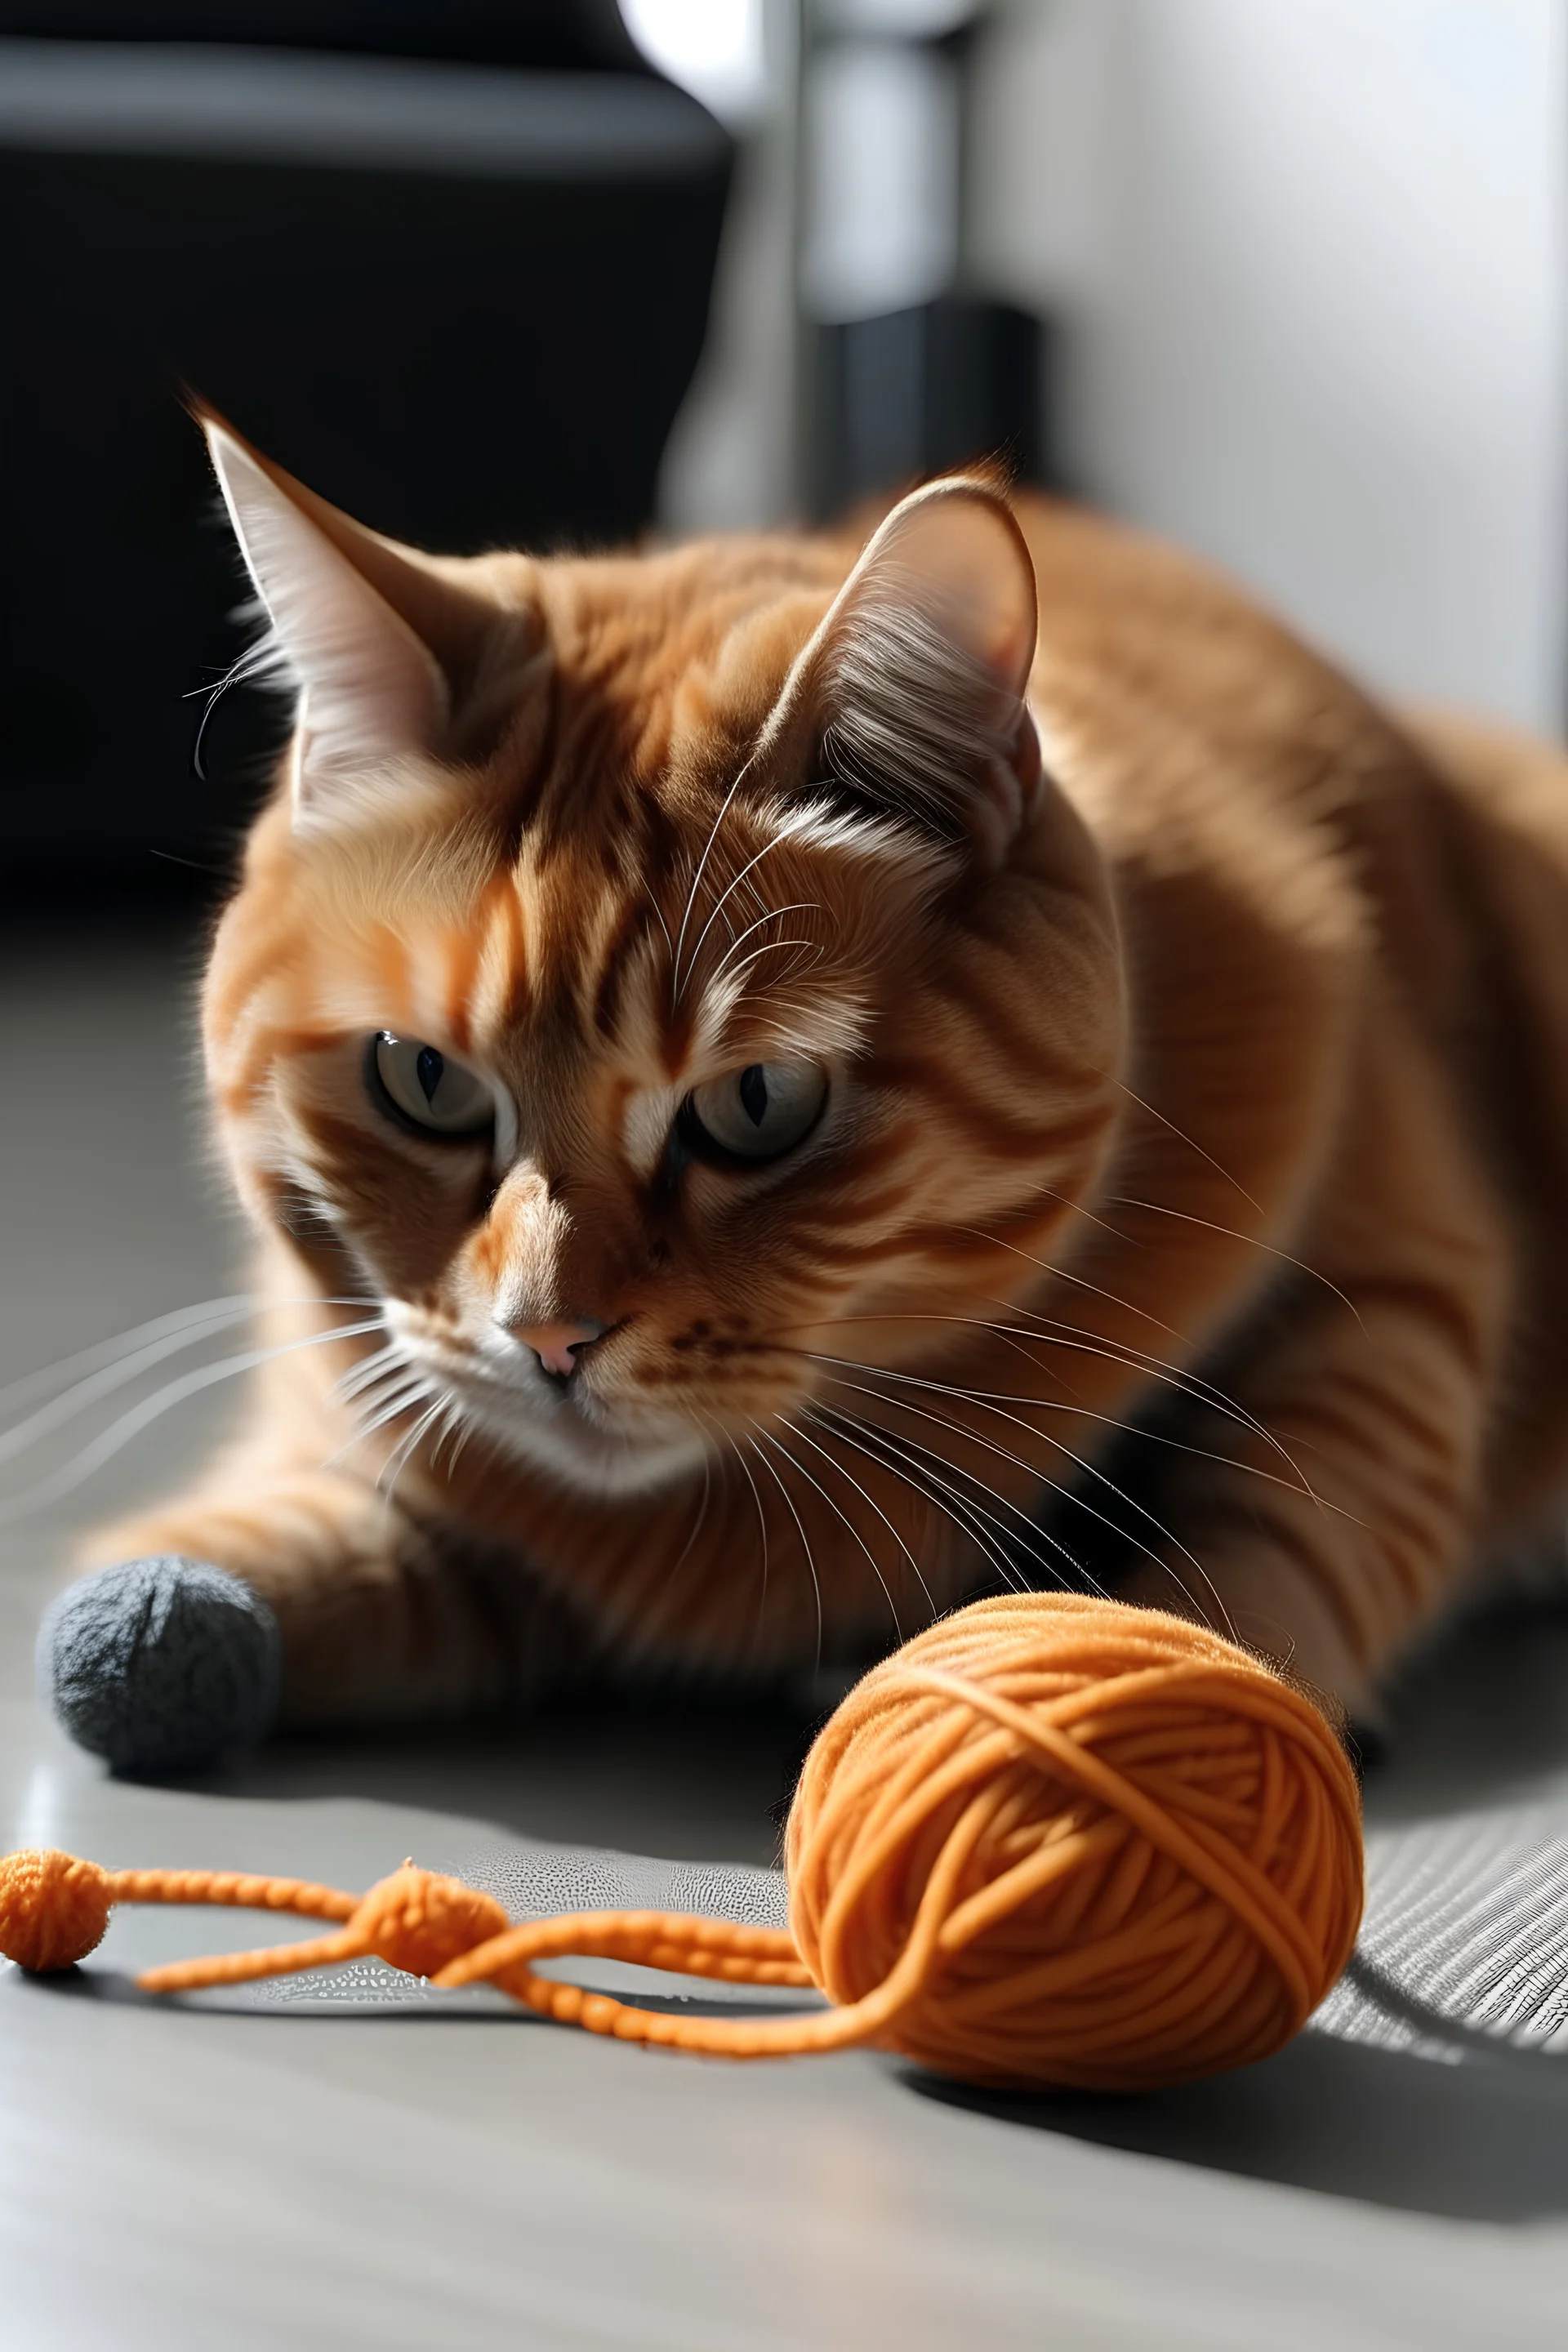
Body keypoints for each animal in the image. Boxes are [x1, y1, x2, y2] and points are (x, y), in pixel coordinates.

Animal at [88, 418, 1568, 1731]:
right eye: (424, 1080)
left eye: (756, 1104)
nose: (551, 1340)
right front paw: (174, 1606)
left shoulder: (1400, 1262)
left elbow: (1294, 1515)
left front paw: (1162, 1683)